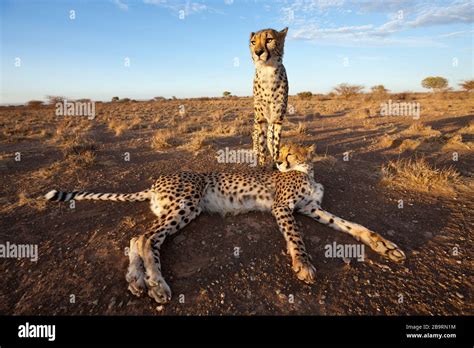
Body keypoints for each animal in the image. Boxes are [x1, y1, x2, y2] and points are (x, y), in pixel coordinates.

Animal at [46, 143, 406, 304]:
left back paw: (137, 281)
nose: (278, 160)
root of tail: (158, 180)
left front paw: (385, 246)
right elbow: (297, 238)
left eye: (290, 153)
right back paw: (157, 285)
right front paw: (303, 265)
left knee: (137, 237)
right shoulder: (283, 208)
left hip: (177, 209)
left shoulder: (313, 209)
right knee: (147, 238)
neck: (307, 172)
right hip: (187, 204)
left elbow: (353, 226)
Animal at [250, 27, 290, 166]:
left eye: (269, 40)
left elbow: (275, 142)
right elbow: (261, 143)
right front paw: (262, 164)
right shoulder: (261, 118)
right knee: (255, 135)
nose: (257, 52)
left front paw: (275, 162)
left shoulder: (277, 118)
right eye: (253, 42)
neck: (268, 71)